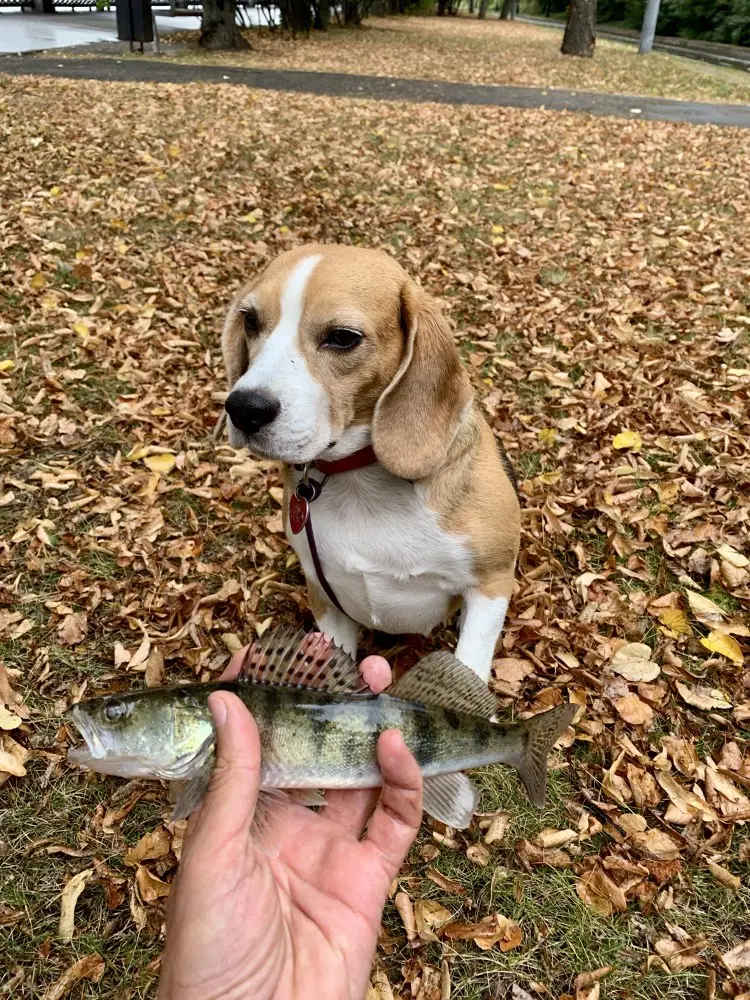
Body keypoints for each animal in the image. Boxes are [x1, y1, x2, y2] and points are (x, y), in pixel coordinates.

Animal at [220, 244, 520, 680]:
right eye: (250, 320)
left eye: (343, 338)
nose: (244, 409)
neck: (360, 480)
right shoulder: (323, 592)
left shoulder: (491, 584)